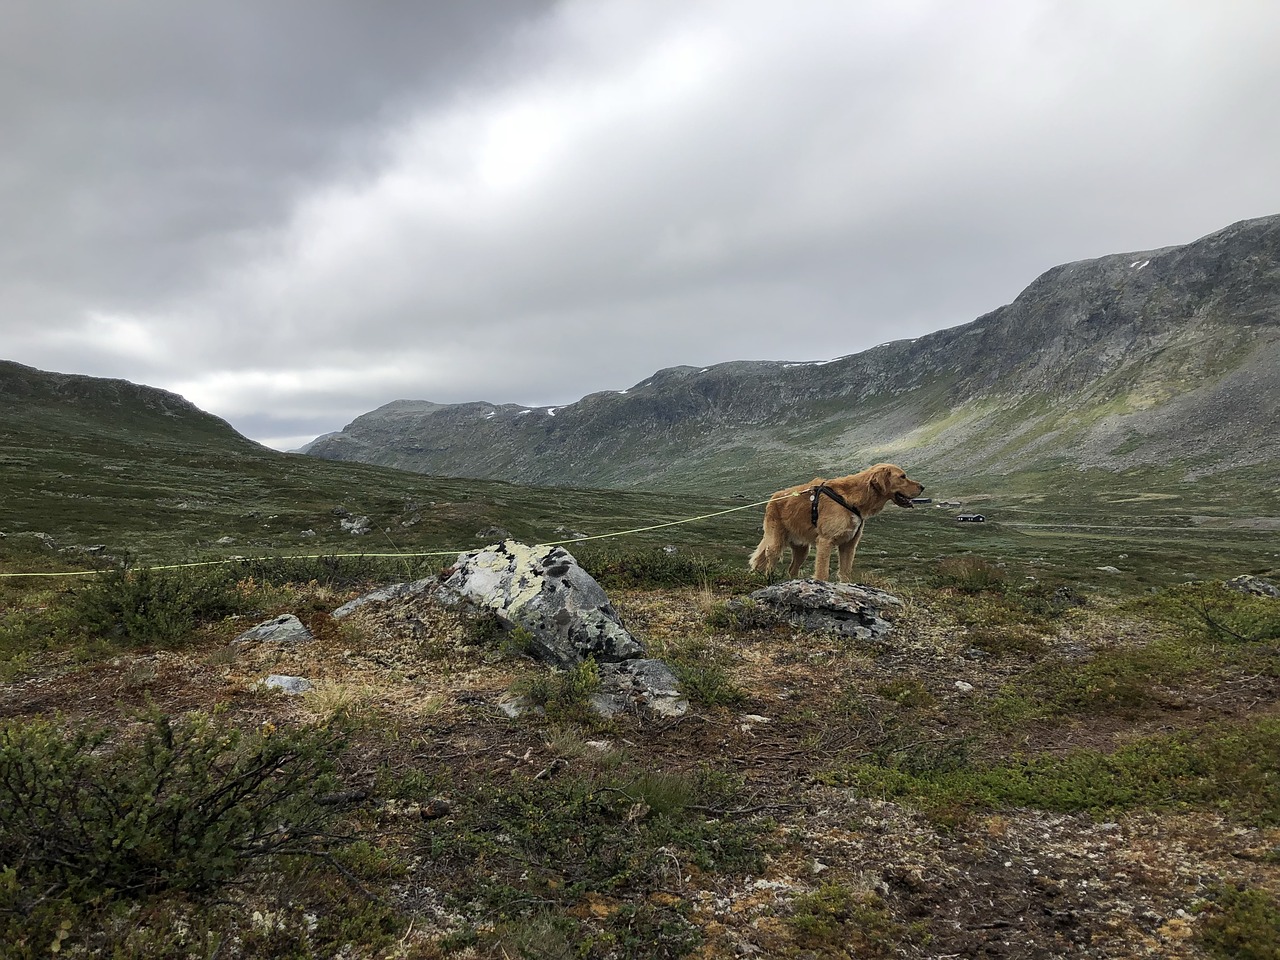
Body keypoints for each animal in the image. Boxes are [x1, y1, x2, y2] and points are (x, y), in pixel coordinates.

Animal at [747, 463, 921, 583]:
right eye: (902, 476)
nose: (922, 487)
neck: (854, 499)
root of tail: (773, 497)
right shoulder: (826, 542)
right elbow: (823, 573)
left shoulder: (849, 545)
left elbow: (845, 572)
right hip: (776, 541)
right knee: (770, 561)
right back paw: (769, 580)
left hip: (802, 549)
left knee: (792, 569)